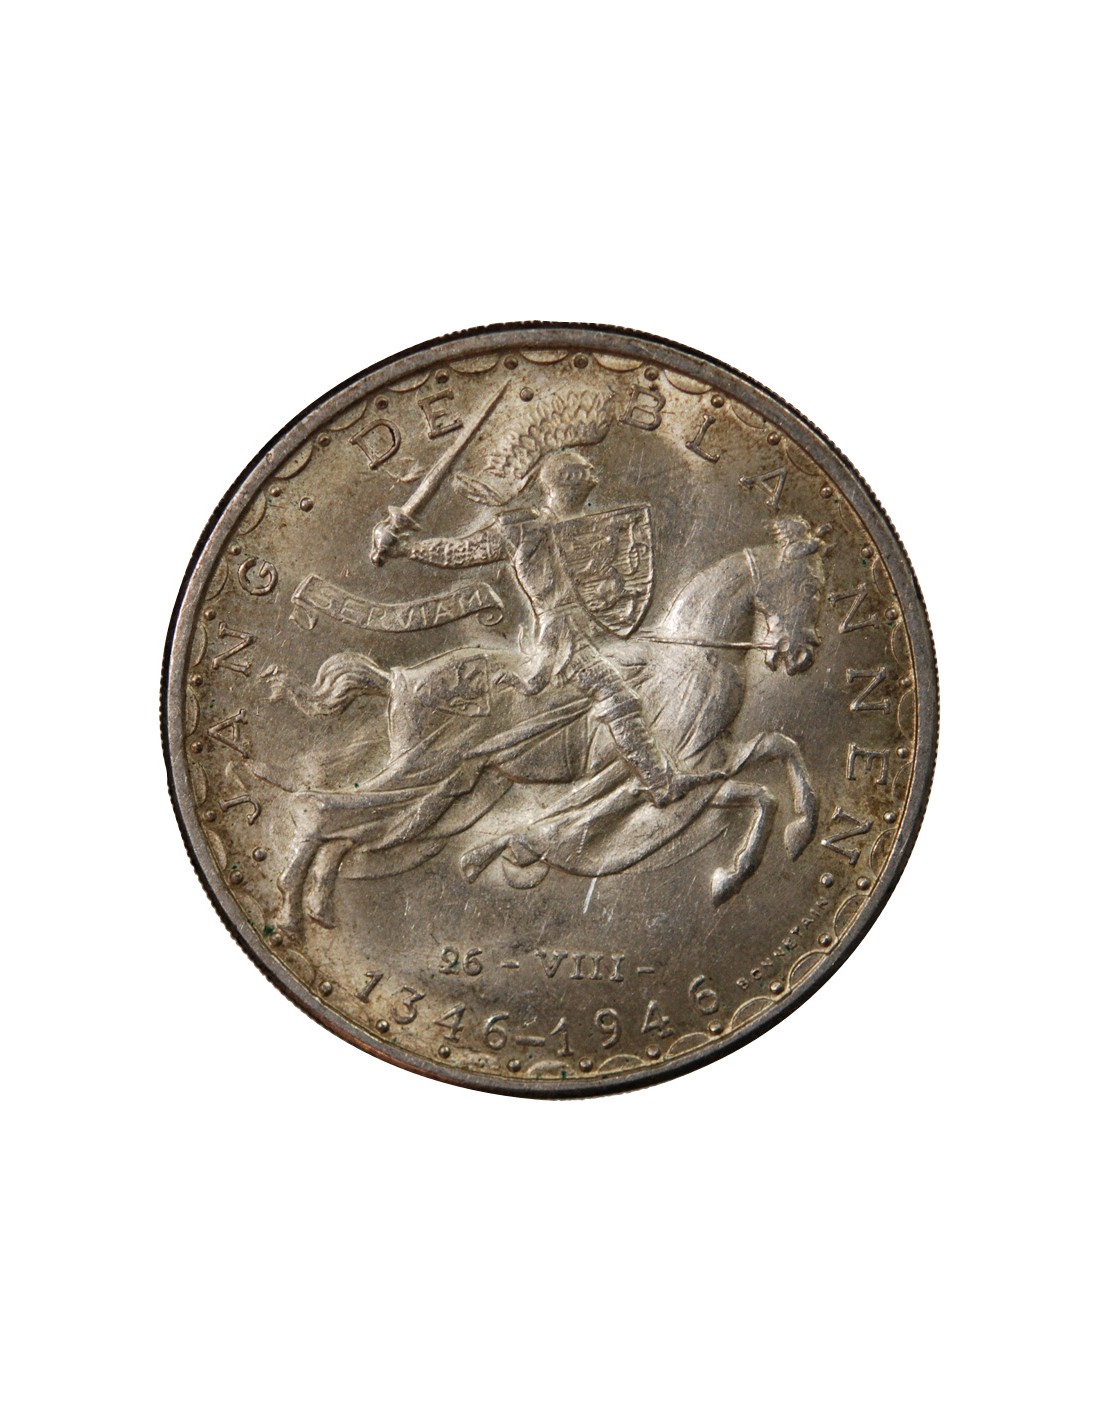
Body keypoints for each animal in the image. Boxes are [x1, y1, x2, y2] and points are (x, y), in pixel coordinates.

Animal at [267, 515, 826, 939]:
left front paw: (768, 853)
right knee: (322, 808)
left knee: (354, 830)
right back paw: (291, 913)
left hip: (448, 787)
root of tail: (398, 678)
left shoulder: (709, 765)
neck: (699, 656)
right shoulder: (686, 768)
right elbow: (758, 772)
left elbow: (774, 759)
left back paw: (318, 906)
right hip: (427, 766)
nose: (801, 654)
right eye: (809, 585)